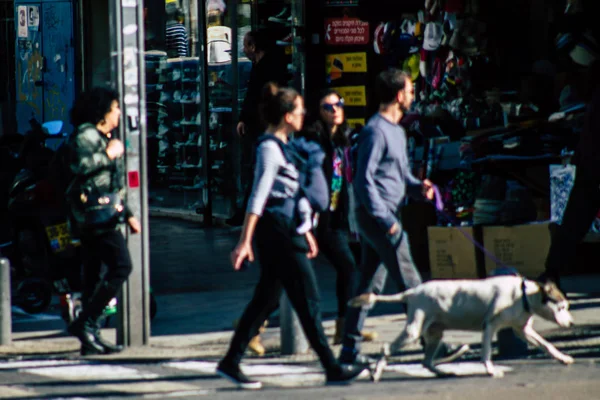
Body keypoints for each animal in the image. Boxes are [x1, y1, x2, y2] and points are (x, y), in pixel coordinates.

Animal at [350, 276, 576, 376]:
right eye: (561, 307)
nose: (572, 322)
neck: (522, 295)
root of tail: (412, 292)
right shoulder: (489, 326)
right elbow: (486, 353)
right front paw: (490, 370)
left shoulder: (523, 330)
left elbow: (547, 345)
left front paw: (563, 358)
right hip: (413, 331)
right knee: (387, 348)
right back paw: (377, 370)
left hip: (435, 334)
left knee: (426, 361)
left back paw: (443, 373)